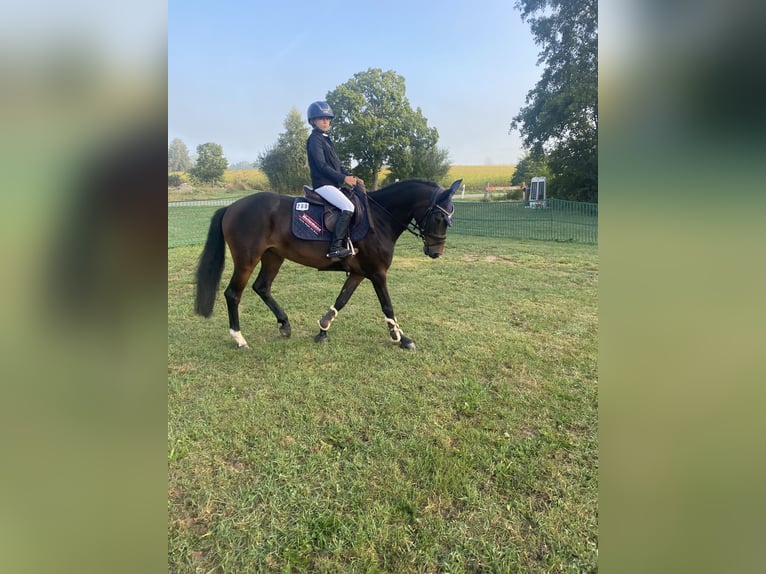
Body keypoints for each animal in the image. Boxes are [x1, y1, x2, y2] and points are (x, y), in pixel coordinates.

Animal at [195, 180, 464, 352]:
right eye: (439, 217)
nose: (436, 252)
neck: (380, 219)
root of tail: (231, 207)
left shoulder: (358, 273)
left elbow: (341, 300)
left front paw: (323, 329)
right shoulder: (377, 273)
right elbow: (387, 305)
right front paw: (401, 338)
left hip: (273, 257)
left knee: (262, 287)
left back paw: (285, 325)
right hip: (247, 259)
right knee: (233, 293)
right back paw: (239, 339)